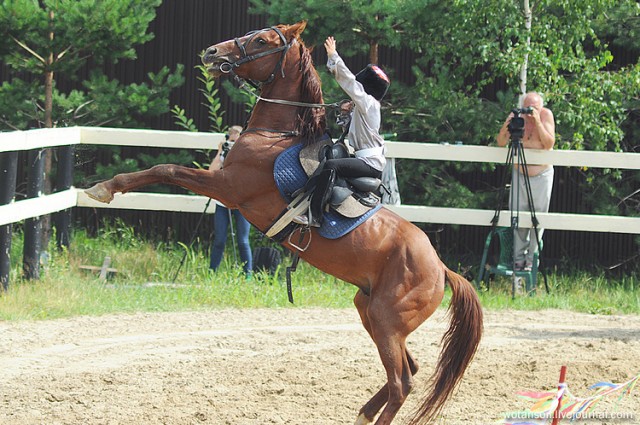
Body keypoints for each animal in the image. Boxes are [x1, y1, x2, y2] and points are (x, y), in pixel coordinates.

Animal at [86, 20, 484, 424]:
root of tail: (440, 268)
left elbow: (165, 169)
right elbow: (165, 169)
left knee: (403, 382)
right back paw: (363, 413)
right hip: (370, 311)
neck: (276, 135)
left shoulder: (227, 188)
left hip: (387, 321)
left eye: (262, 41)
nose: (212, 53)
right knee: (407, 371)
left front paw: (105, 188)